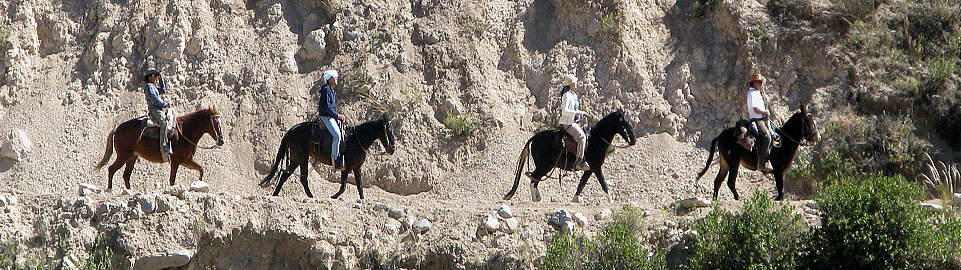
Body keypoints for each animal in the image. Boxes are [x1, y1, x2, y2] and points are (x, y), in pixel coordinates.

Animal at [95, 107, 227, 190]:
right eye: (216, 122)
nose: (221, 141)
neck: (185, 131)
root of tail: (117, 129)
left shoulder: (186, 161)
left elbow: (200, 169)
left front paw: (199, 185)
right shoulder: (175, 161)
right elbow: (172, 180)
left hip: (132, 157)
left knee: (126, 175)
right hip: (123, 156)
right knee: (112, 169)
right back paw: (110, 189)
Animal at [502, 109, 636, 202]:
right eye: (624, 124)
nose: (633, 141)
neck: (596, 139)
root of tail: (534, 138)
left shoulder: (589, 170)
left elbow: (581, 184)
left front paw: (575, 199)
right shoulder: (596, 167)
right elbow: (604, 184)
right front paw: (611, 201)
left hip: (545, 166)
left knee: (534, 179)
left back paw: (537, 198)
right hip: (544, 166)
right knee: (533, 178)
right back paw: (536, 199)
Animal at [692, 104, 820, 201]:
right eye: (808, 121)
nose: (817, 136)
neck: (784, 142)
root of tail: (721, 135)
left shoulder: (782, 172)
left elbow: (781, 188)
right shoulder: (778, 171)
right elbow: (780, 188)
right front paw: (779, 199)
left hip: (725, 163)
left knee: (718, 181)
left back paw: (715, 200)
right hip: (733, 162)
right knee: (730, 182)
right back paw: (738, 198)